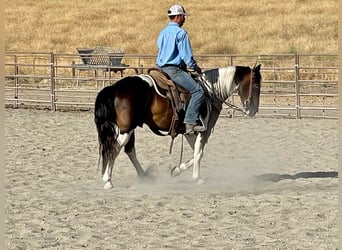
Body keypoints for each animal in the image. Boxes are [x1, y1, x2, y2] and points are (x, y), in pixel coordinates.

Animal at [93, 65, 262, 189]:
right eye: (256, 85)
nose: (253, 111)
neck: (210, 91)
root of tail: (114, 88)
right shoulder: (204, 130)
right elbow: (199, 154)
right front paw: (197, 178)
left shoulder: (189, 132)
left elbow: (195, 153)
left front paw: (176, 170)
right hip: (125, 130)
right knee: (114, 149)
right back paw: (108, 180)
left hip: (129, 129)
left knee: (128, 150)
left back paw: (144, 176)